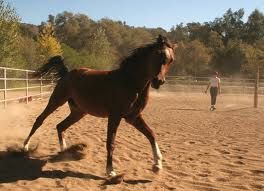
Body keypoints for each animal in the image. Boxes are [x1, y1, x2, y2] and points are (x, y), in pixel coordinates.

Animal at [23, 34, 176, 178]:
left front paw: (157, 165)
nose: (159, 82)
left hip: (78, 112)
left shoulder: (133, 117)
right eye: (158, 54)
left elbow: (151, 134)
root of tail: (67, 73)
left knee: (60, 126)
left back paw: (64, 151)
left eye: (171, 60)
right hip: (56, 101)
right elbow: (111, 142)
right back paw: (25, 146)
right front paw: (110, 171)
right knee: (40, 120)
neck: (130, 82)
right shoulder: (115, 116)